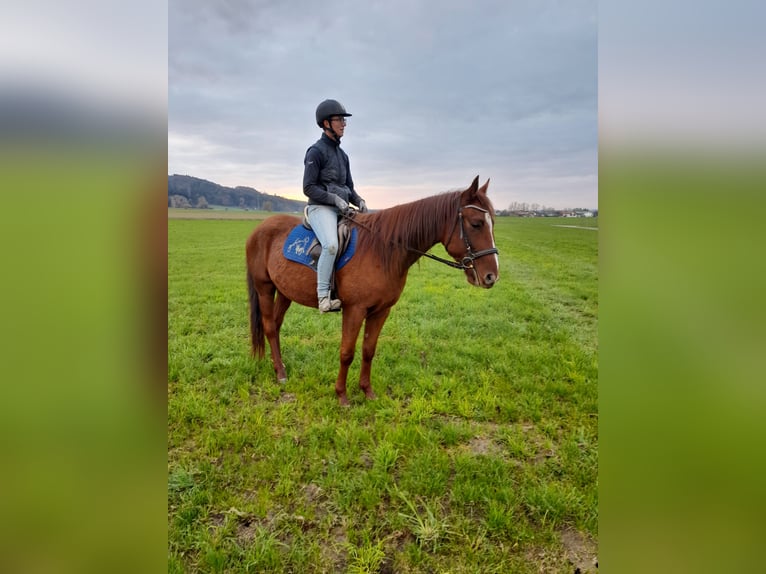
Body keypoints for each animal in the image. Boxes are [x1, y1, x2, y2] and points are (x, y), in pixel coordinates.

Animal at [243, 178, 500, 408]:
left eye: (492, 223)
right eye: (476, 223)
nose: (491, 277)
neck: (382, 249)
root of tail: (259, 230)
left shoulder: (381, 311)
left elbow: (368, 350)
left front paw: (367, 392)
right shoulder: (354, 310)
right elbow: (347, 352)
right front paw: (342, 396)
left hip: (284, 292)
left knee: (276, 327)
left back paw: (279, 366)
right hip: (264, 288)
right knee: (269, 327)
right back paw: (280, 374)